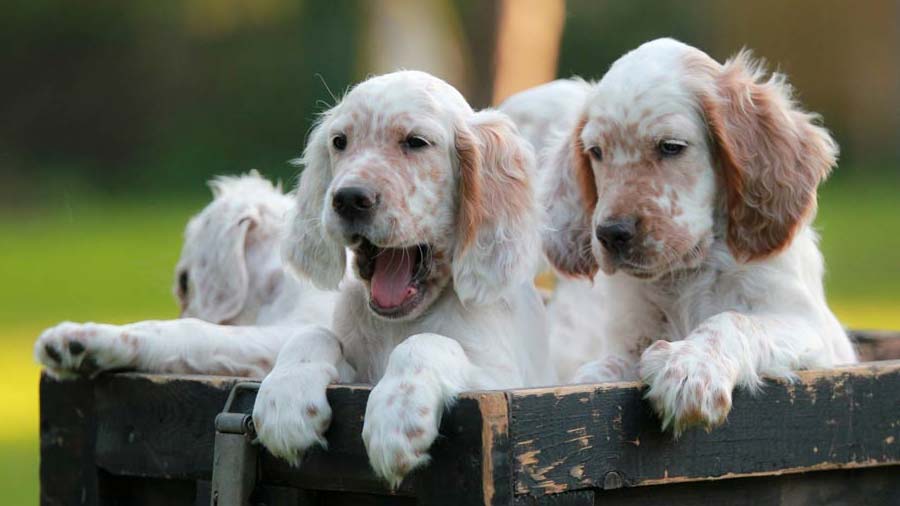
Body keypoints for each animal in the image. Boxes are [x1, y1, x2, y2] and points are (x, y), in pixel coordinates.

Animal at [250, 69, 552, 488]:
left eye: (416, 142)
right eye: (339, 142)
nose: (348, 198)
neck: (398, 323)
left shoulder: (502, 381)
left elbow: (425, 343)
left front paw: (397, 414)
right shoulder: (356, 373)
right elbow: (311, 334)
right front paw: (284, 398)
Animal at [536, 39, 856, 434]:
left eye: (671, 146)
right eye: (596, 152)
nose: (611, 234)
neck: (687, 273)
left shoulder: (810, 330)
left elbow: (733, 320)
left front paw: (690, 369)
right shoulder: (629, 337)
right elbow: (609, 364)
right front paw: (586, 383)